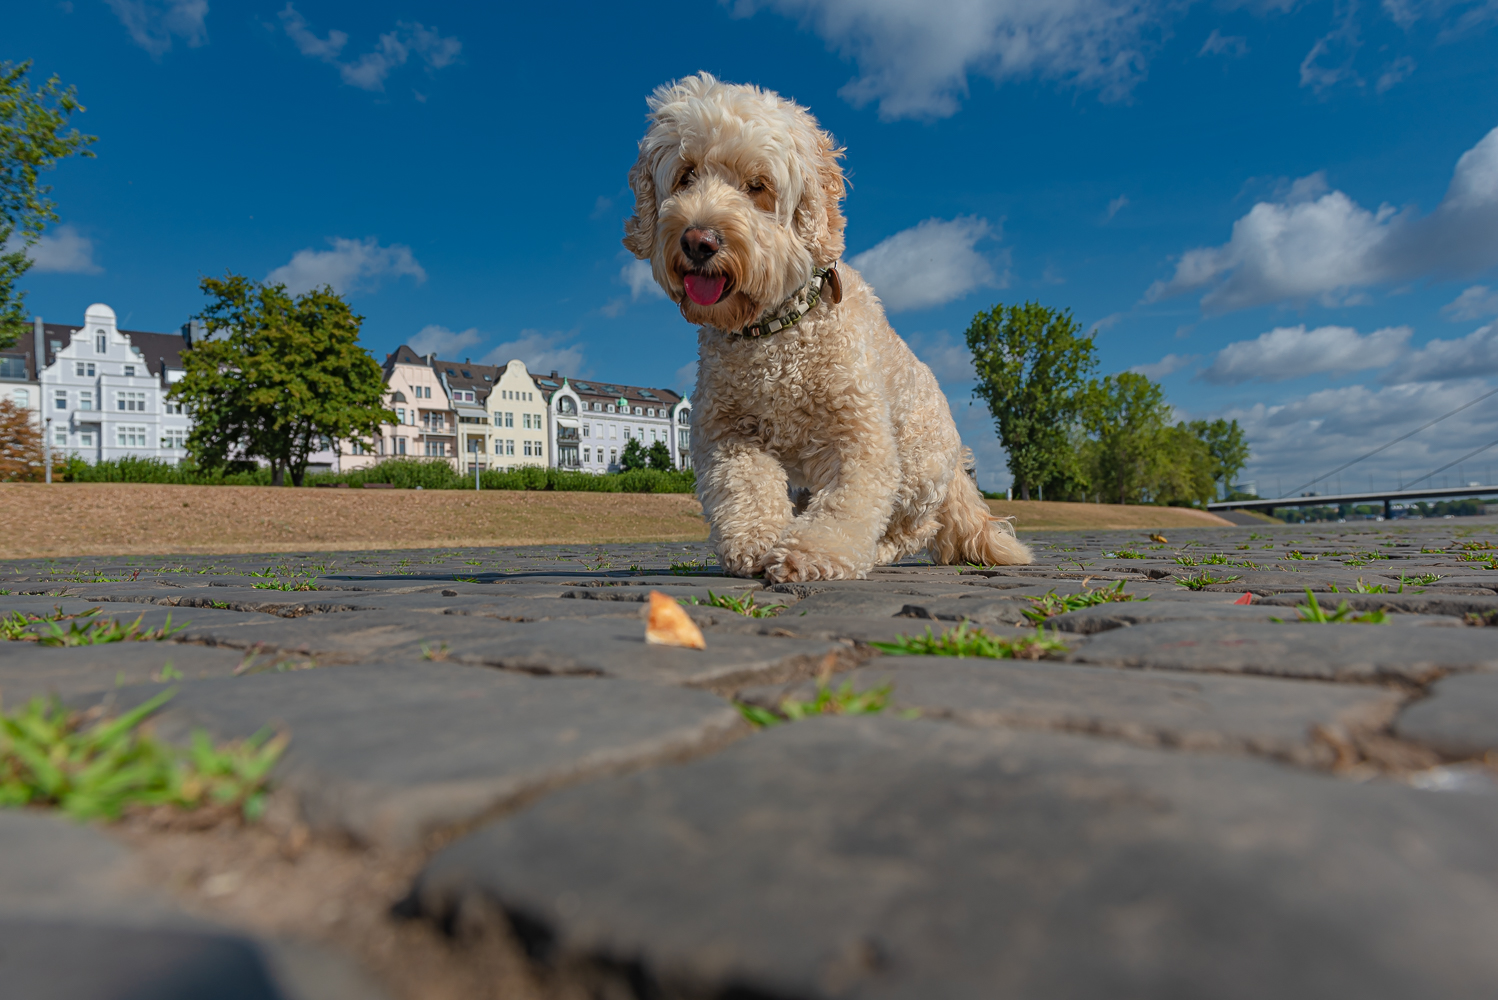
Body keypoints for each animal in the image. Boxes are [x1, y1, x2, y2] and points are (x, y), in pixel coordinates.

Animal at [623, 74, 1030, 580]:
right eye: (686, 174)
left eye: (757, 186)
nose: (700, 240)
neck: (775, 334)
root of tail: (958, 465)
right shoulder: (726, 432)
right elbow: (745, 486)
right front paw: (756, 541)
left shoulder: (859, 436)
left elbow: (847, 503)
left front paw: (812, 551)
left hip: (919, 464)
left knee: (914, 526)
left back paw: (877, 551)